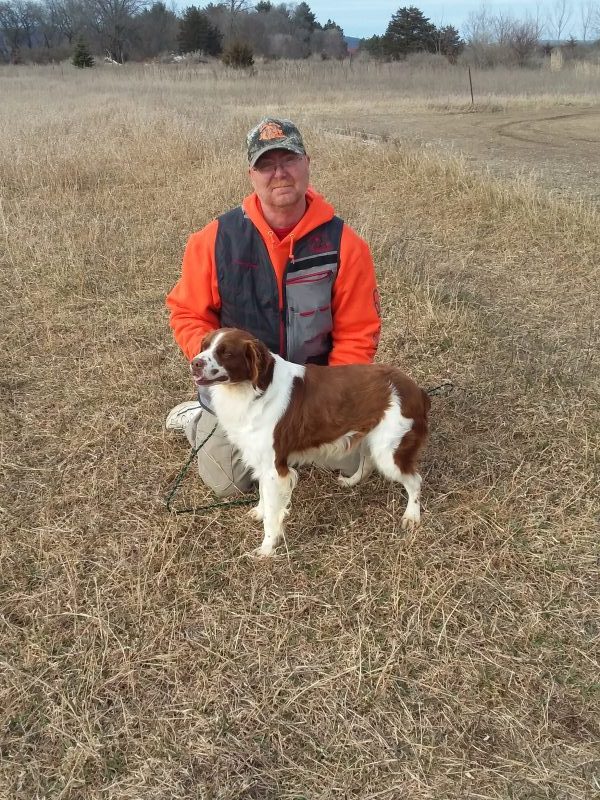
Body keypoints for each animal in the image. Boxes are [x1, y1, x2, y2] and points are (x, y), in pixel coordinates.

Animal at [190, 326, 428, 556]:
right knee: (367, 463)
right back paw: (350, 481)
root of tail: (414, 389)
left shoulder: (274, 468)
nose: (195, 363)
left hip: (388, 452)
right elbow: (264, 496)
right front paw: (260, 512)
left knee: (414, 481)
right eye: (204, 346)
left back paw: (411, 516)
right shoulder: (261, 462)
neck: (252, 390)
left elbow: (272, 514)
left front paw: (267, 548)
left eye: (226, 353)